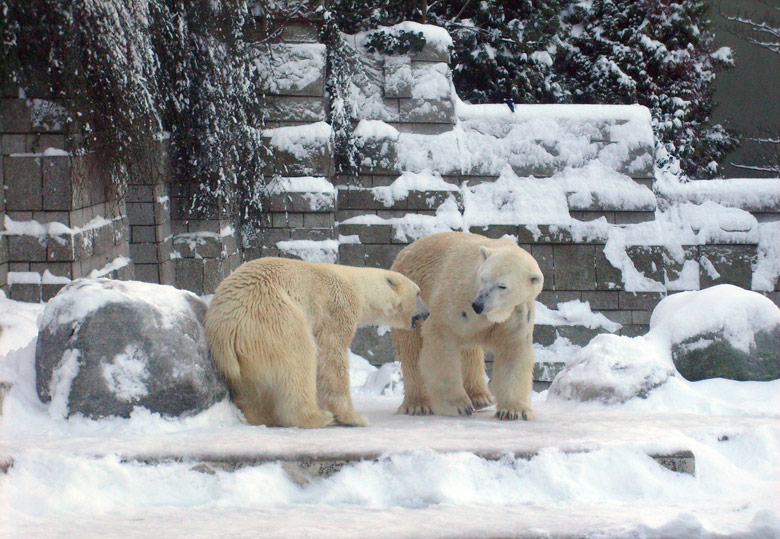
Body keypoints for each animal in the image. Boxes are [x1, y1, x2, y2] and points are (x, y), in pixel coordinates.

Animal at [204, 258, 430, 430]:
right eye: (418, 292)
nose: (427, 313)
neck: (356, 285)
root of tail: (226, 328)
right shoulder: (337, 307)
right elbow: (331, 356)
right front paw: (354, 418)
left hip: (241, 360)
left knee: (250, 390)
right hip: (275, 318)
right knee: (299, 363)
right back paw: (318, 417)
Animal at [390, 232, 544, 422]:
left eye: (502, 285)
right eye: (483, 278)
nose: (478, 305)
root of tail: (404, 252)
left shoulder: (518, 313)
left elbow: (513, 352)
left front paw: (515, 411)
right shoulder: (457, 302)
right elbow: (442, 343)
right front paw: (458, 406)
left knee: (470, 353)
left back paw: (481, 398)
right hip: (412, 298)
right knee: (411, 349)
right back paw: (418, 405)